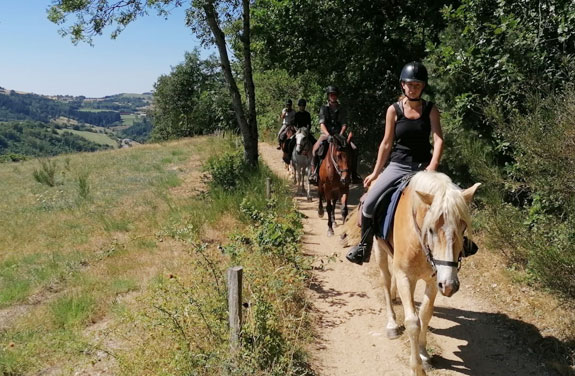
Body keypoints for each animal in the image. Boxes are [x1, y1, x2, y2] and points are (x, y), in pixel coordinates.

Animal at [374, 172, 482, 374]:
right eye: (430, 229)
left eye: (463, 228)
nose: (450, 286)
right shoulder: (405, 276)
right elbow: (412, 322)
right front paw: (416, 367)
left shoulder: (434, 280)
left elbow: (424, 315)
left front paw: (423, 355)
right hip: (379, 250)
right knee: (385, 280)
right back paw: (391, 323)